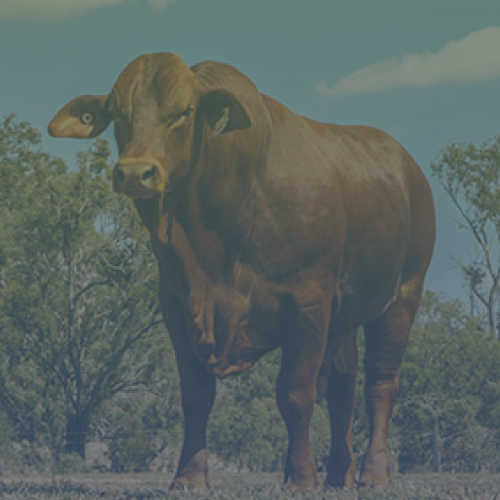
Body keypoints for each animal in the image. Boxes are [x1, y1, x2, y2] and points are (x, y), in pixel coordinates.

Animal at [48, 53, 436, 488]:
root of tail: (407, 165)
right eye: (117, 114)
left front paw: (300, 478)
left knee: (381, 383)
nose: (135, 172)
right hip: (346, 315)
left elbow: (295, 393)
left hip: (403, 294)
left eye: (185, 111)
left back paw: (374, 473)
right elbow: (196, 396)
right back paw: (340, 473)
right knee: (343, 388)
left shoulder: (309, 302)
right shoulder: (177, 306)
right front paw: (189, 477)